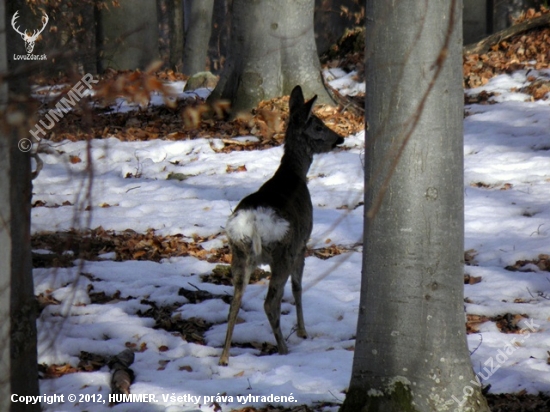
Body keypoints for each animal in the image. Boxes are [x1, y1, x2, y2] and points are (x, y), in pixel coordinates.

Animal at [220, 85, 344, 366]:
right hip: (282, 250)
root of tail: (254, 222)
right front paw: (303, 331)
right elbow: (298, 288)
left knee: (235, 301)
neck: (293, 174)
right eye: (318, 126)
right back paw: (284, 349)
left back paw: (224, 357)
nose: (340, 139)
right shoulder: (303, 242)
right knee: (271, 301)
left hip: (239, 252)